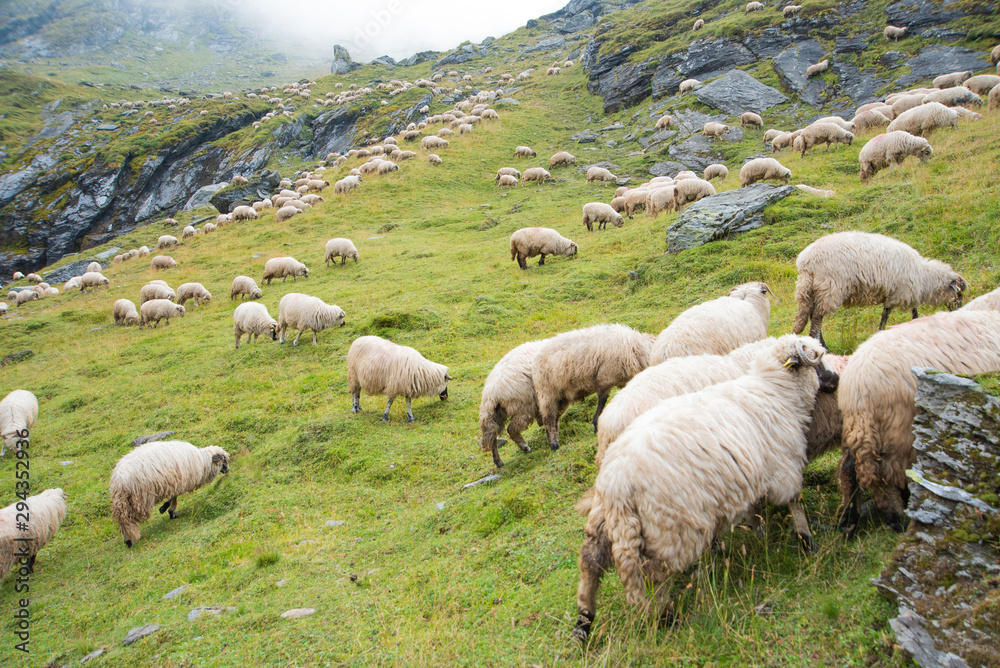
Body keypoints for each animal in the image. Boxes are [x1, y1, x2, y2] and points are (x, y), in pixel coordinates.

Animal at [572, 334, 836, 640]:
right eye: (816, 359)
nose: (836, 379)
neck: (770, 389)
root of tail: (617, 482)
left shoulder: (750, 472)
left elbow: (754, 507)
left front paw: (757, 531)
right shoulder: (784, 466)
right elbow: (795, 502)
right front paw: (806, 541)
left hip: (610, 516)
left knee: (591, 558)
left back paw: (584, 621)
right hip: (668, 528)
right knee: (654, 574)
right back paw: (667, 616)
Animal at [792, 230, 964, 348]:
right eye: (959, 294)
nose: (959, 311)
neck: (924, 277)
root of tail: (807, 261)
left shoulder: (905, 293)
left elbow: (908, 311)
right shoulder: (901, 292)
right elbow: (887, 314)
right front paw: (881, 331)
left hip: (812, 289)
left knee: (812, 314)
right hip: (830, 287)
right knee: (817, 316)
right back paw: (821, 344)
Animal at [836, 310, 1000, 536]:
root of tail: (858, 386)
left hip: (860, 431)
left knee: (848, 468)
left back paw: (848, 522)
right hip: (898, 432)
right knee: (885, 478)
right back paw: (897, 520)